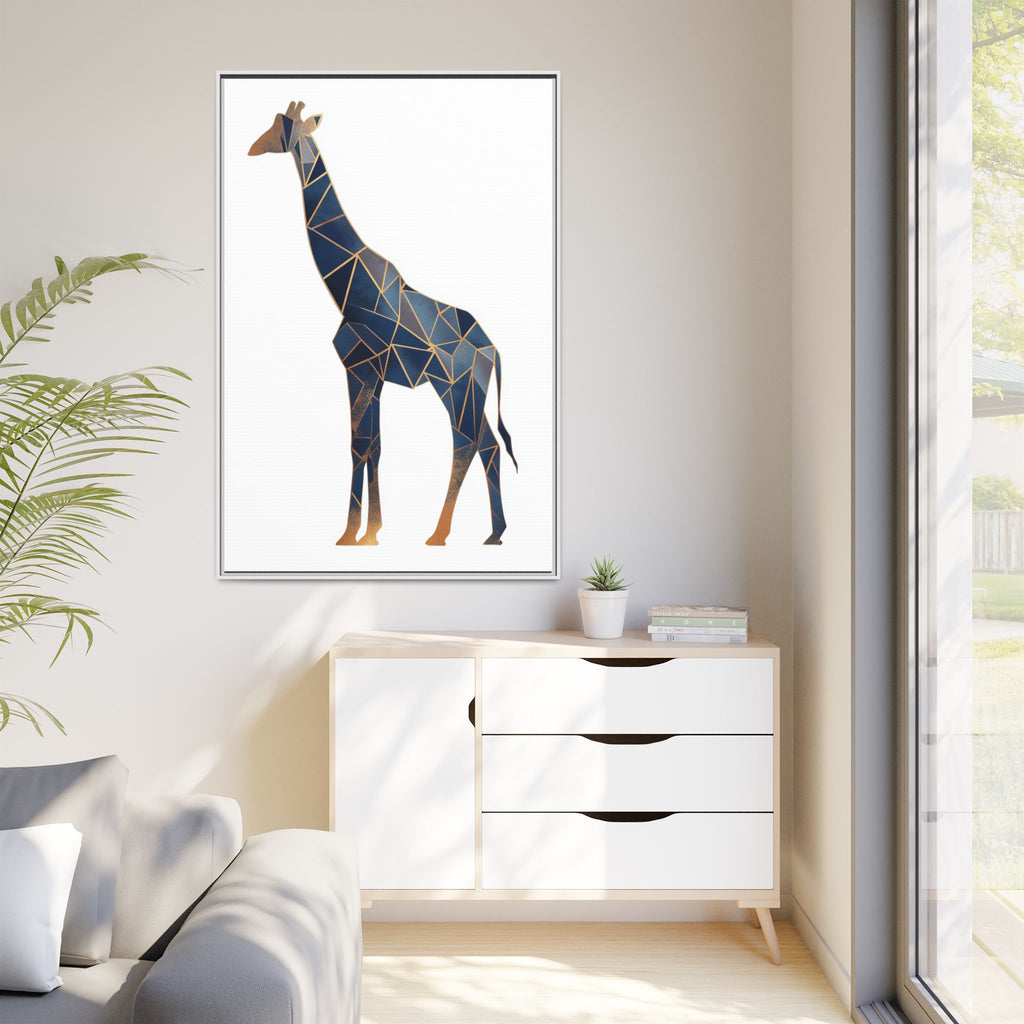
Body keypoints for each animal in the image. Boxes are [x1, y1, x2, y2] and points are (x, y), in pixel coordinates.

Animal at [248, 100, 517, 547]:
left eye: (281, 127)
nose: (253, 147)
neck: (348, 288)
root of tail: (492, 350)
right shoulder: (370, 374)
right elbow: (372, 445)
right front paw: (368, 532)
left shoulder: (359, 367)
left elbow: (360, 445)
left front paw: (354, 534)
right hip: (468, 391)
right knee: (488, 445)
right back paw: (494, 533)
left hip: (454, 387)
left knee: (466, 443)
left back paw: (440, 534)